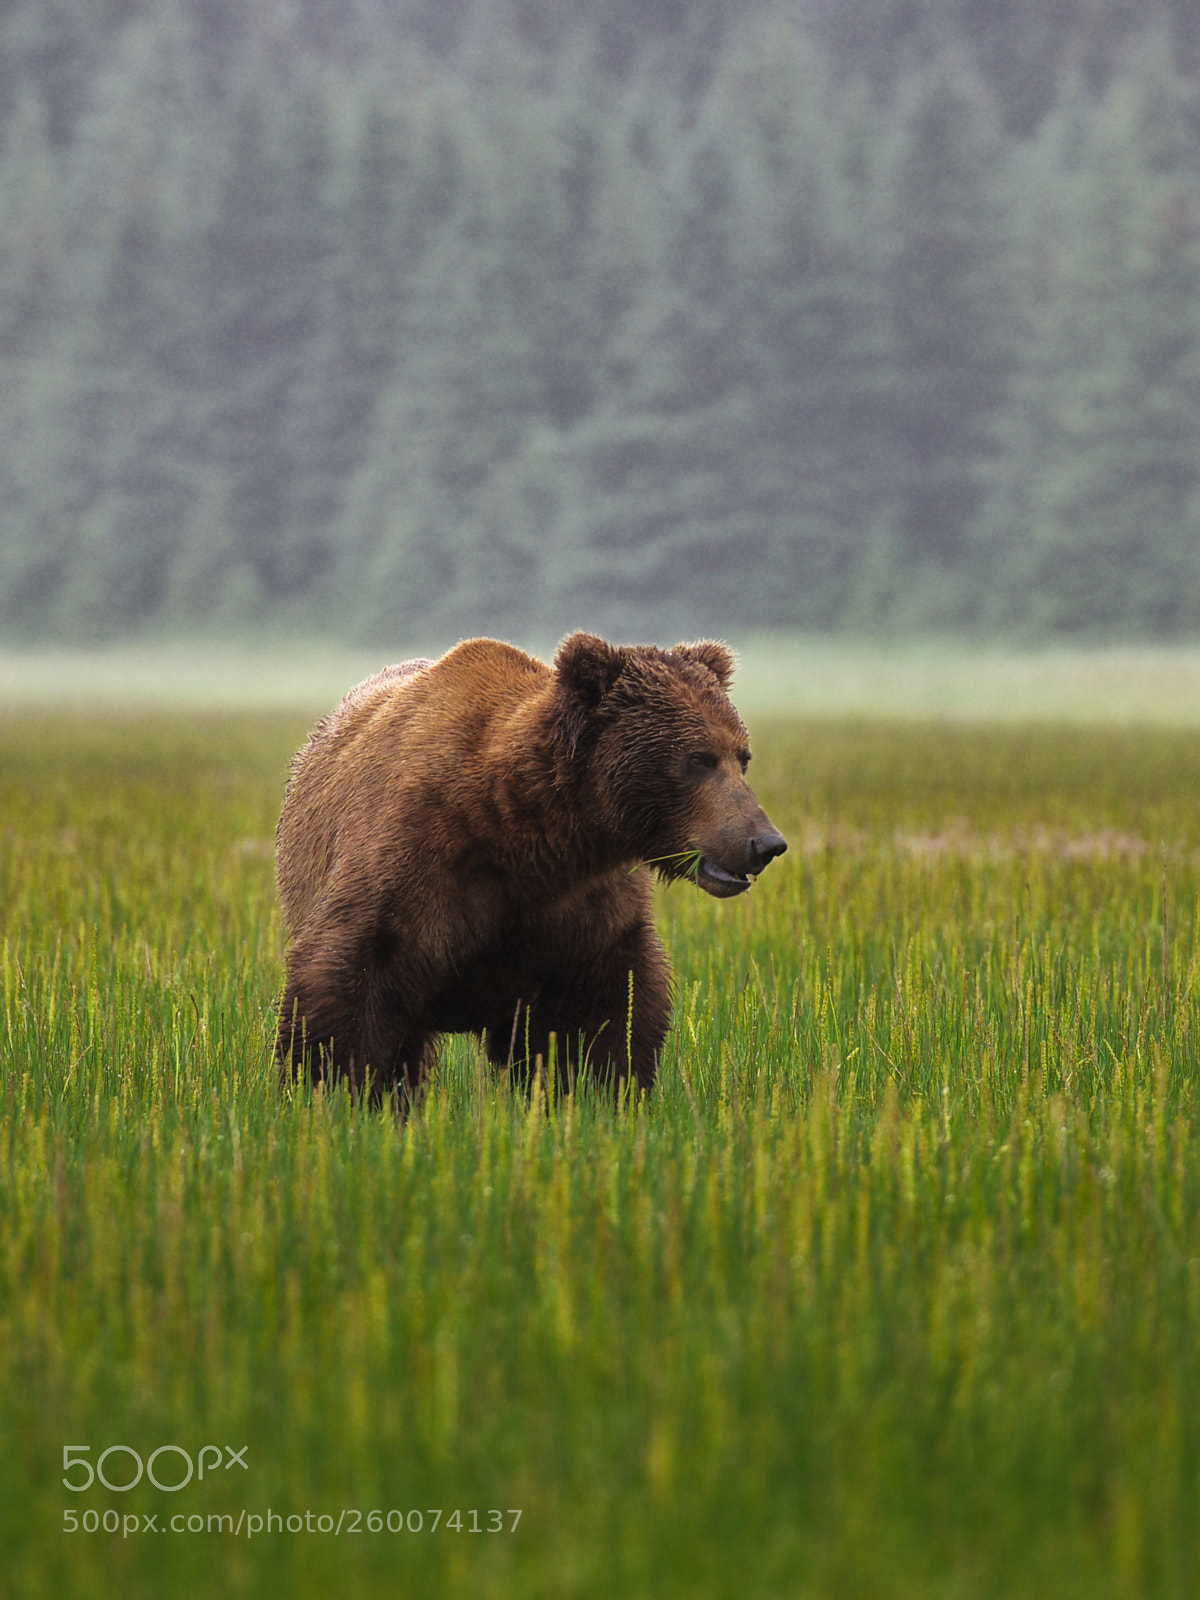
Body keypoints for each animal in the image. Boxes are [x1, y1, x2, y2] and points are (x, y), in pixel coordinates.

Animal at [275, 632, 786, 1100]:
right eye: (698, 758)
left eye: (742, 757)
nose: (765, 842)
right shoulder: (415, 863)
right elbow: (347, 986)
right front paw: (335, 1091)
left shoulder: (582, 909)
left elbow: (602, 1019)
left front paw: (599, 1094)